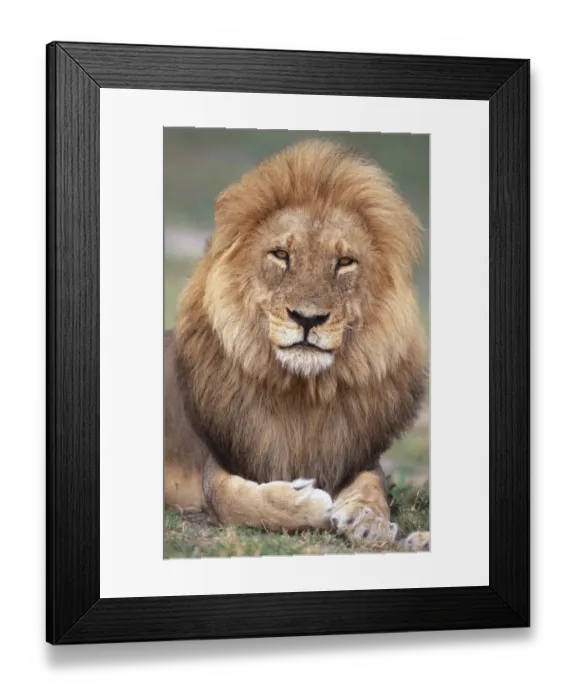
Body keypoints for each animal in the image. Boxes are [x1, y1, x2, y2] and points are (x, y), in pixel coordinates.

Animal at [164, 139, 429, 548]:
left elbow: (374, 486)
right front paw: (311, 502)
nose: (307, 318)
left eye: (345, 262)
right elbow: (239, 502)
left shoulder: (356, 454)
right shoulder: (219, 463)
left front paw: (368, 519)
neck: (304, 392)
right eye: (281, 255)